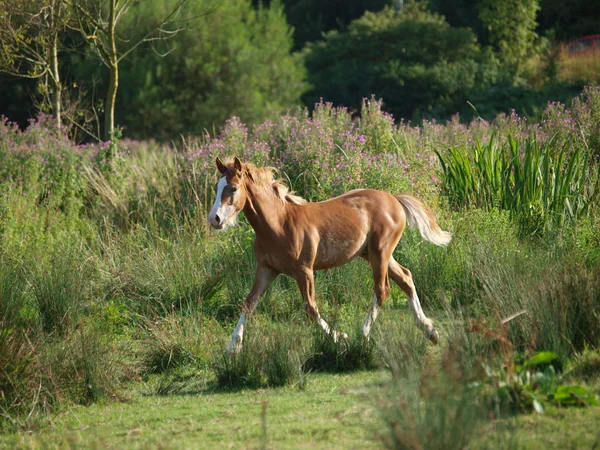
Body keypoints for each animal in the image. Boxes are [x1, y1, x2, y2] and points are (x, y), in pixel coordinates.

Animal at [210, 156, 450, 354]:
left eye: (233, 188)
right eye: (216, 187)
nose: (215, 219)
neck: (279, 223)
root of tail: (394, 198)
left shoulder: (304, 271)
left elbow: (310, 308)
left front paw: (339, 337)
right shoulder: (267, 269)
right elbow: (249, 303)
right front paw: (232, 348)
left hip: (380, 252)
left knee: (382, 290)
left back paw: (363, 335)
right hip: (372, 254)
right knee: (406, 278)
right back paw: (430, 331)